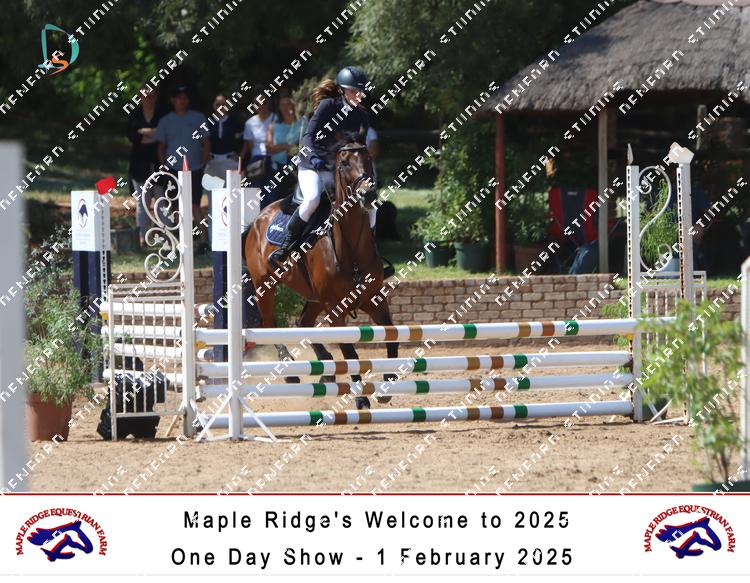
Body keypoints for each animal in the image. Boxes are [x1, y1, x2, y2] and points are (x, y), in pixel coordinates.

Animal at [243, 138, 398, 409]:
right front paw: (361, 398)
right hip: (266, 284)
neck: (352, 251)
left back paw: (325, 364)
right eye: (344, 163)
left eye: (368, 158)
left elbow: (392, 336)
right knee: (268, 323)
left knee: (303, 322)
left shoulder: (374, 300)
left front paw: (387, 384)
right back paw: (290, 367)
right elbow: (350, 353)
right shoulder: (335, 309)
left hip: (314, 297)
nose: (368, 194)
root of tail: (258, 219)